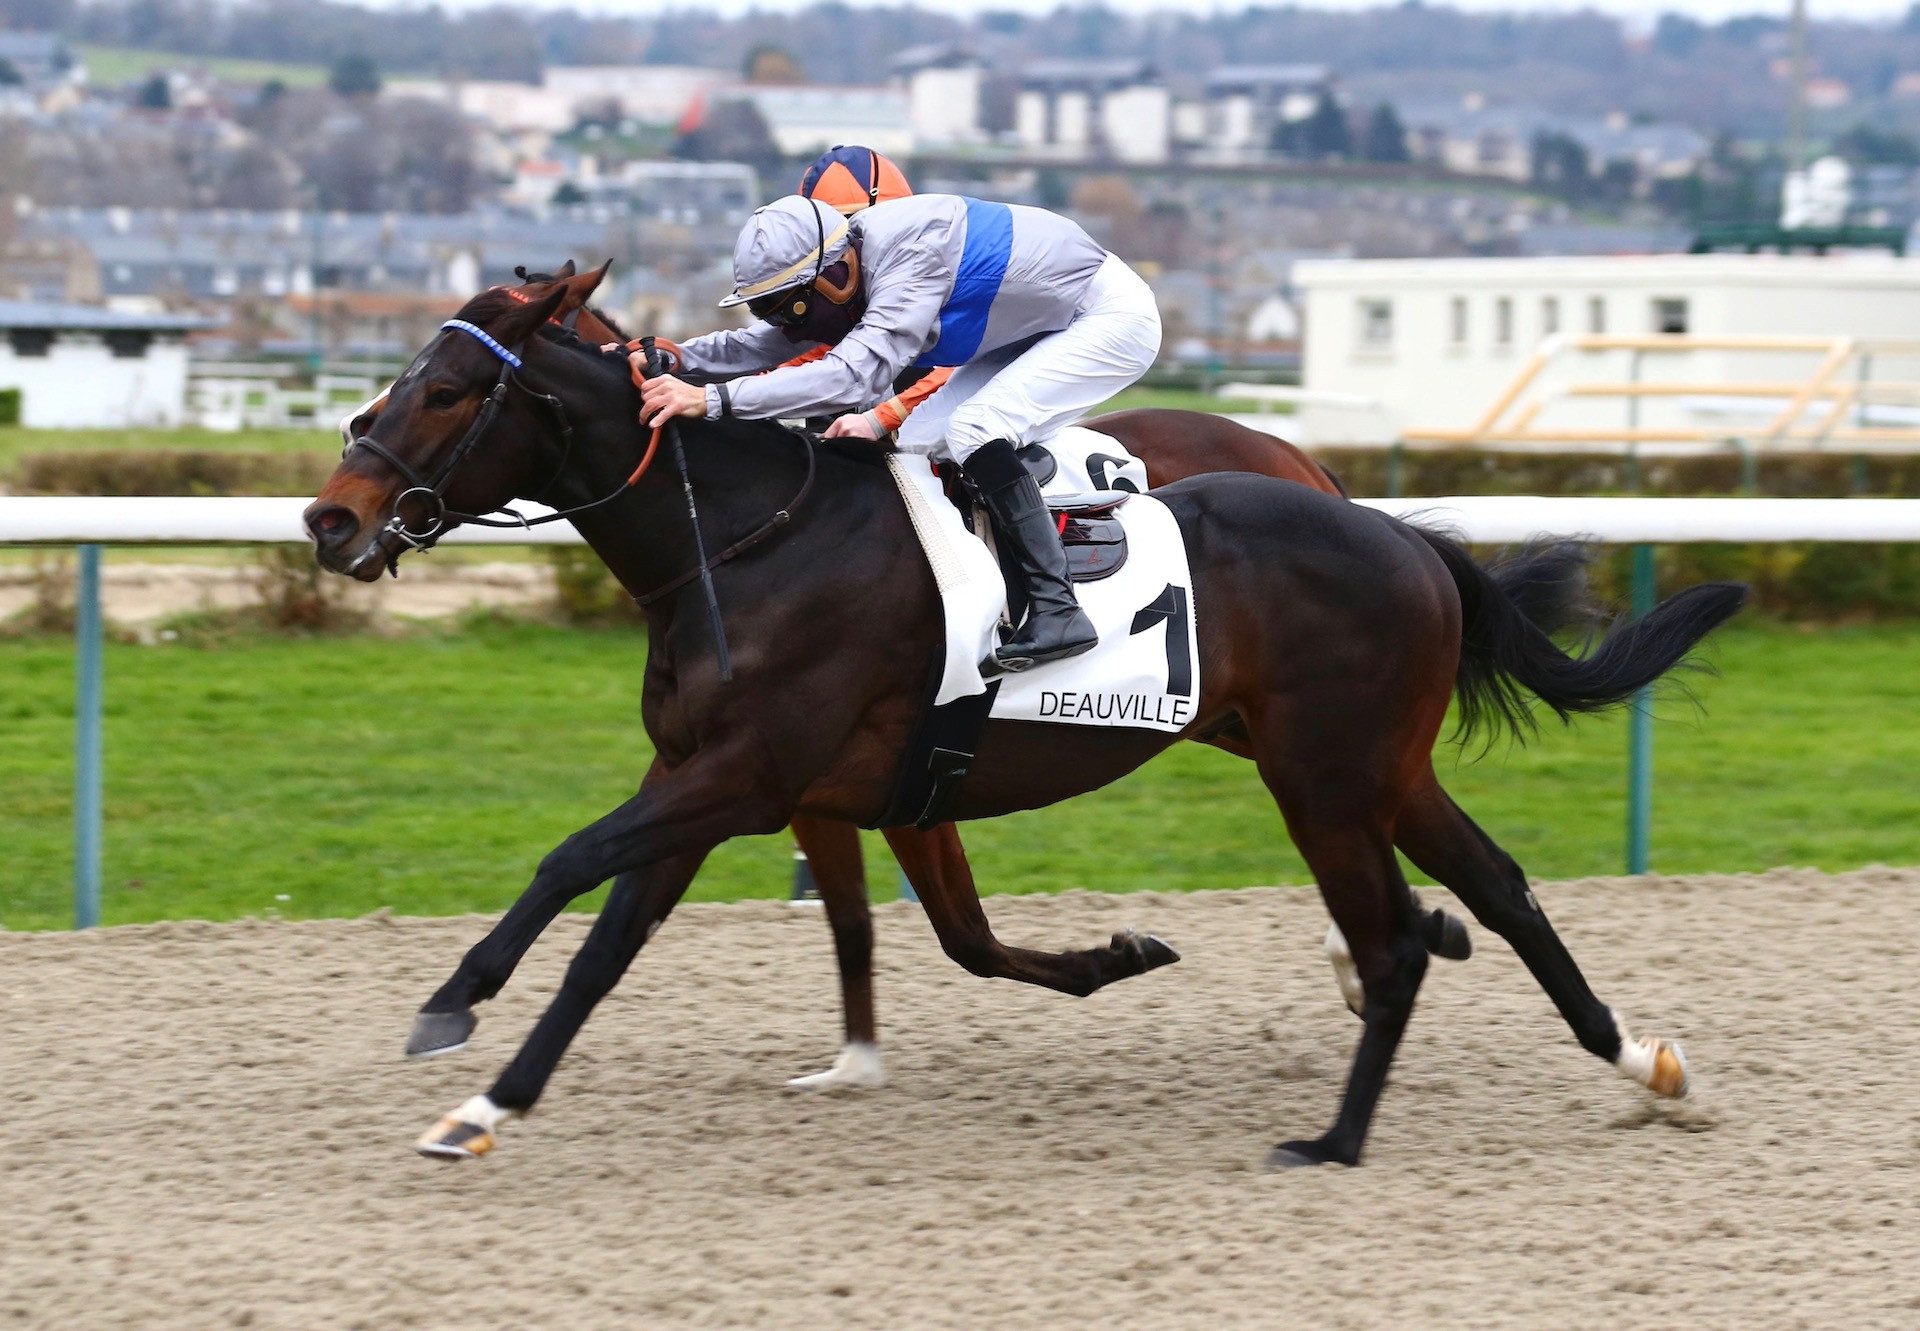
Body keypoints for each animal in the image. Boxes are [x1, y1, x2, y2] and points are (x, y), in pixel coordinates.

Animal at [311, 282, 1743, 1160]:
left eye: (448, 391)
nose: (332, 517)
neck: (748, 538)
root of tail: (1399, 532)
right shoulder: (766, 783)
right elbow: (626, 943)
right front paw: (482, 1105)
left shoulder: (745, 775)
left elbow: (570, 862)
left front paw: (450, 1002)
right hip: (1371, 767)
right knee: (1498, 887)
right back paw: (1644, 1065)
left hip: (1327, 777)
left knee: (1403, 929)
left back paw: (1351, 1119)